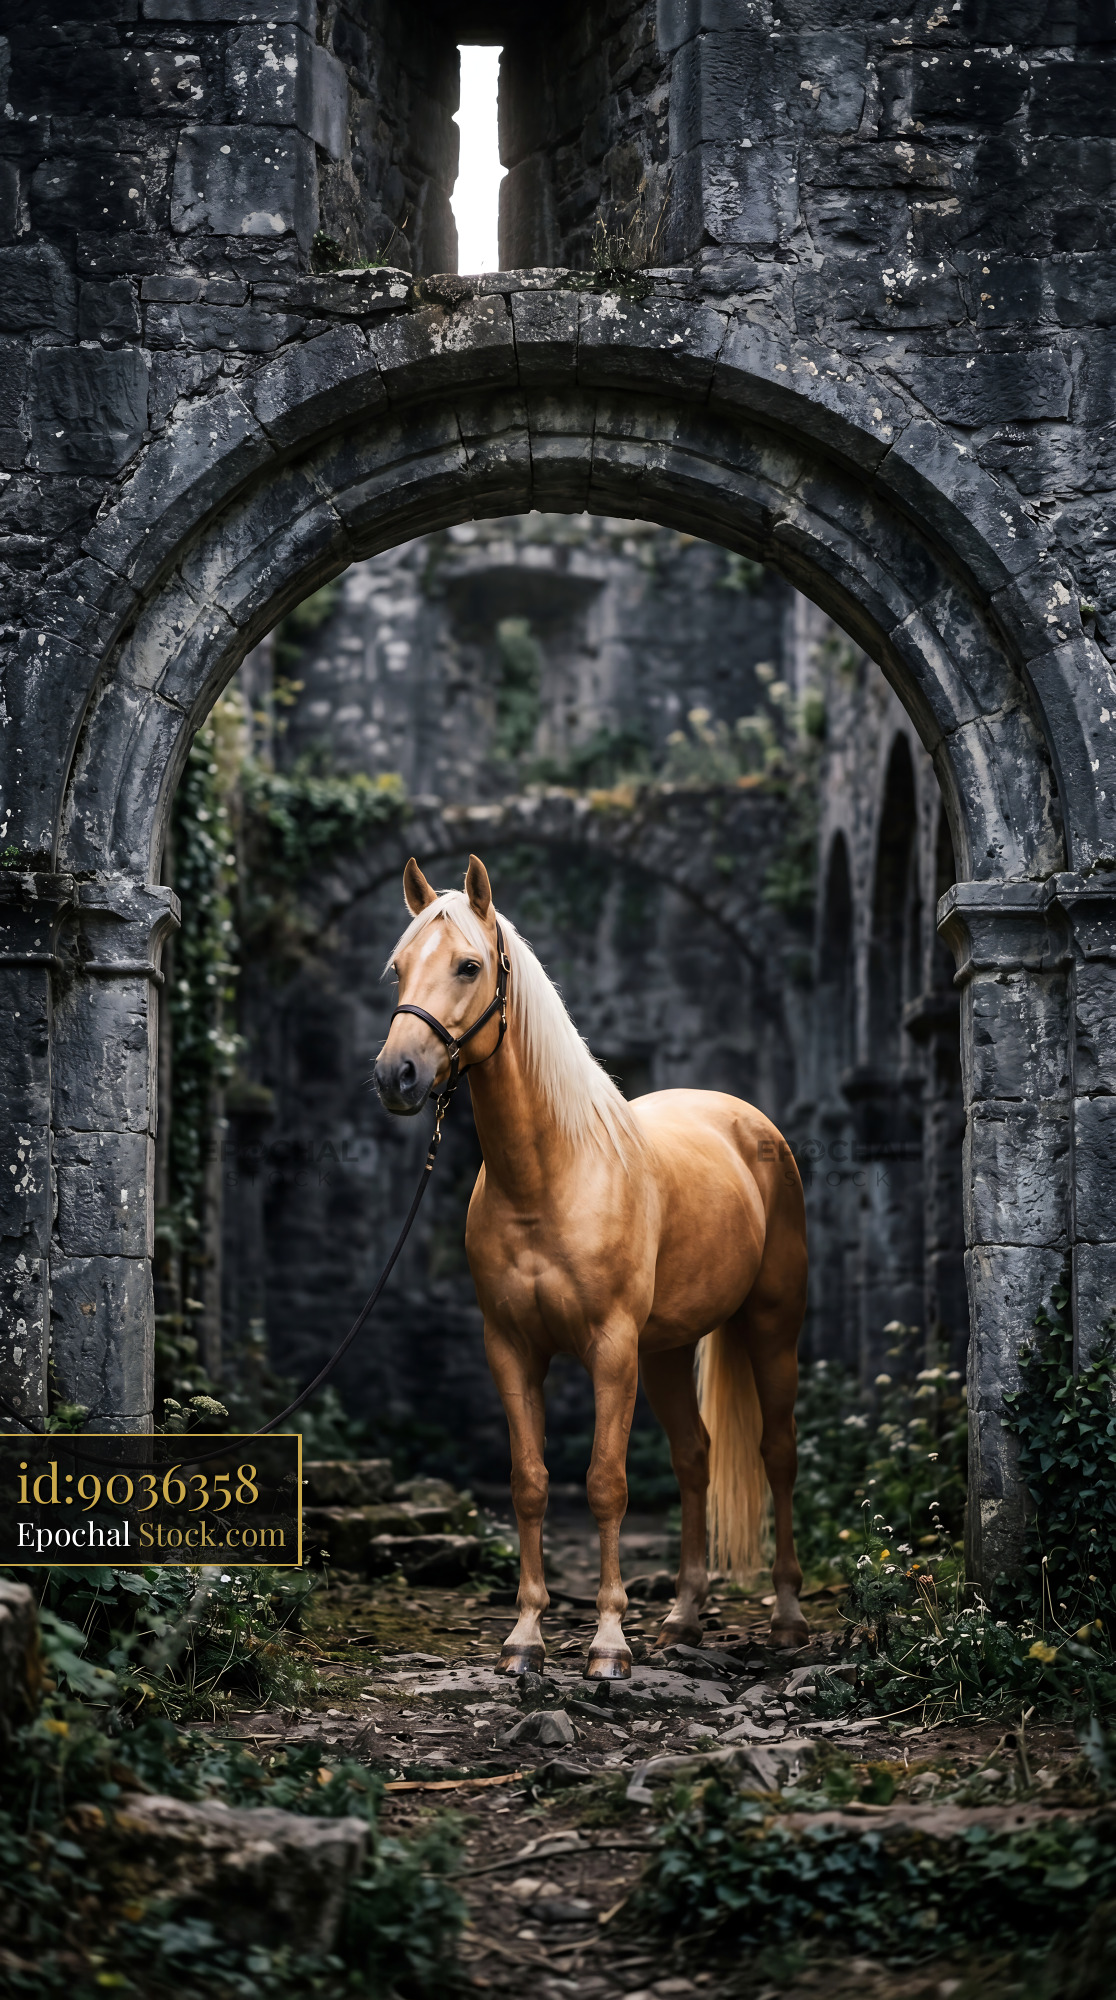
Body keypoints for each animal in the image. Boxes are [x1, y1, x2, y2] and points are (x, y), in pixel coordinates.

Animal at [373, 854, 810, 1678]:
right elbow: (530, 1483)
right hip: (665, 1350)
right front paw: (525, 1638)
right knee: (695, 1457)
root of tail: (749, 1123)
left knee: (777, 1453)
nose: (397, 1076)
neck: (550, 1176)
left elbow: (606, 1482)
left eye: (469, 965)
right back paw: (684, 1617)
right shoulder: (511, 1349)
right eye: (397, 970)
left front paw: (608, 1643)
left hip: (771, 1329)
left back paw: (788, 1618)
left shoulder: (610, 1349)